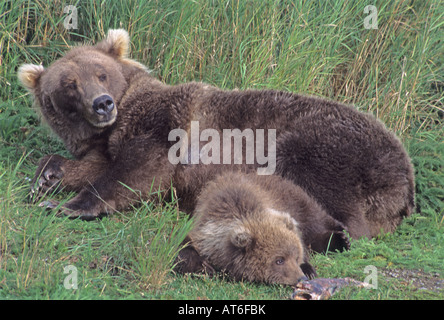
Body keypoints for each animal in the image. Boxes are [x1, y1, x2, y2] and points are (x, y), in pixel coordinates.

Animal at [16, 30, 412, 239]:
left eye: (101, 73)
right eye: (69, 85)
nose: (102, 103)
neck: (123, 114)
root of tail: (405, 180)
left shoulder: (164, 123)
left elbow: (137, 170)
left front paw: (70, 205)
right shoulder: (108, 141)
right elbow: (94, 163)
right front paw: (48, 176)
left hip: (334, 144)